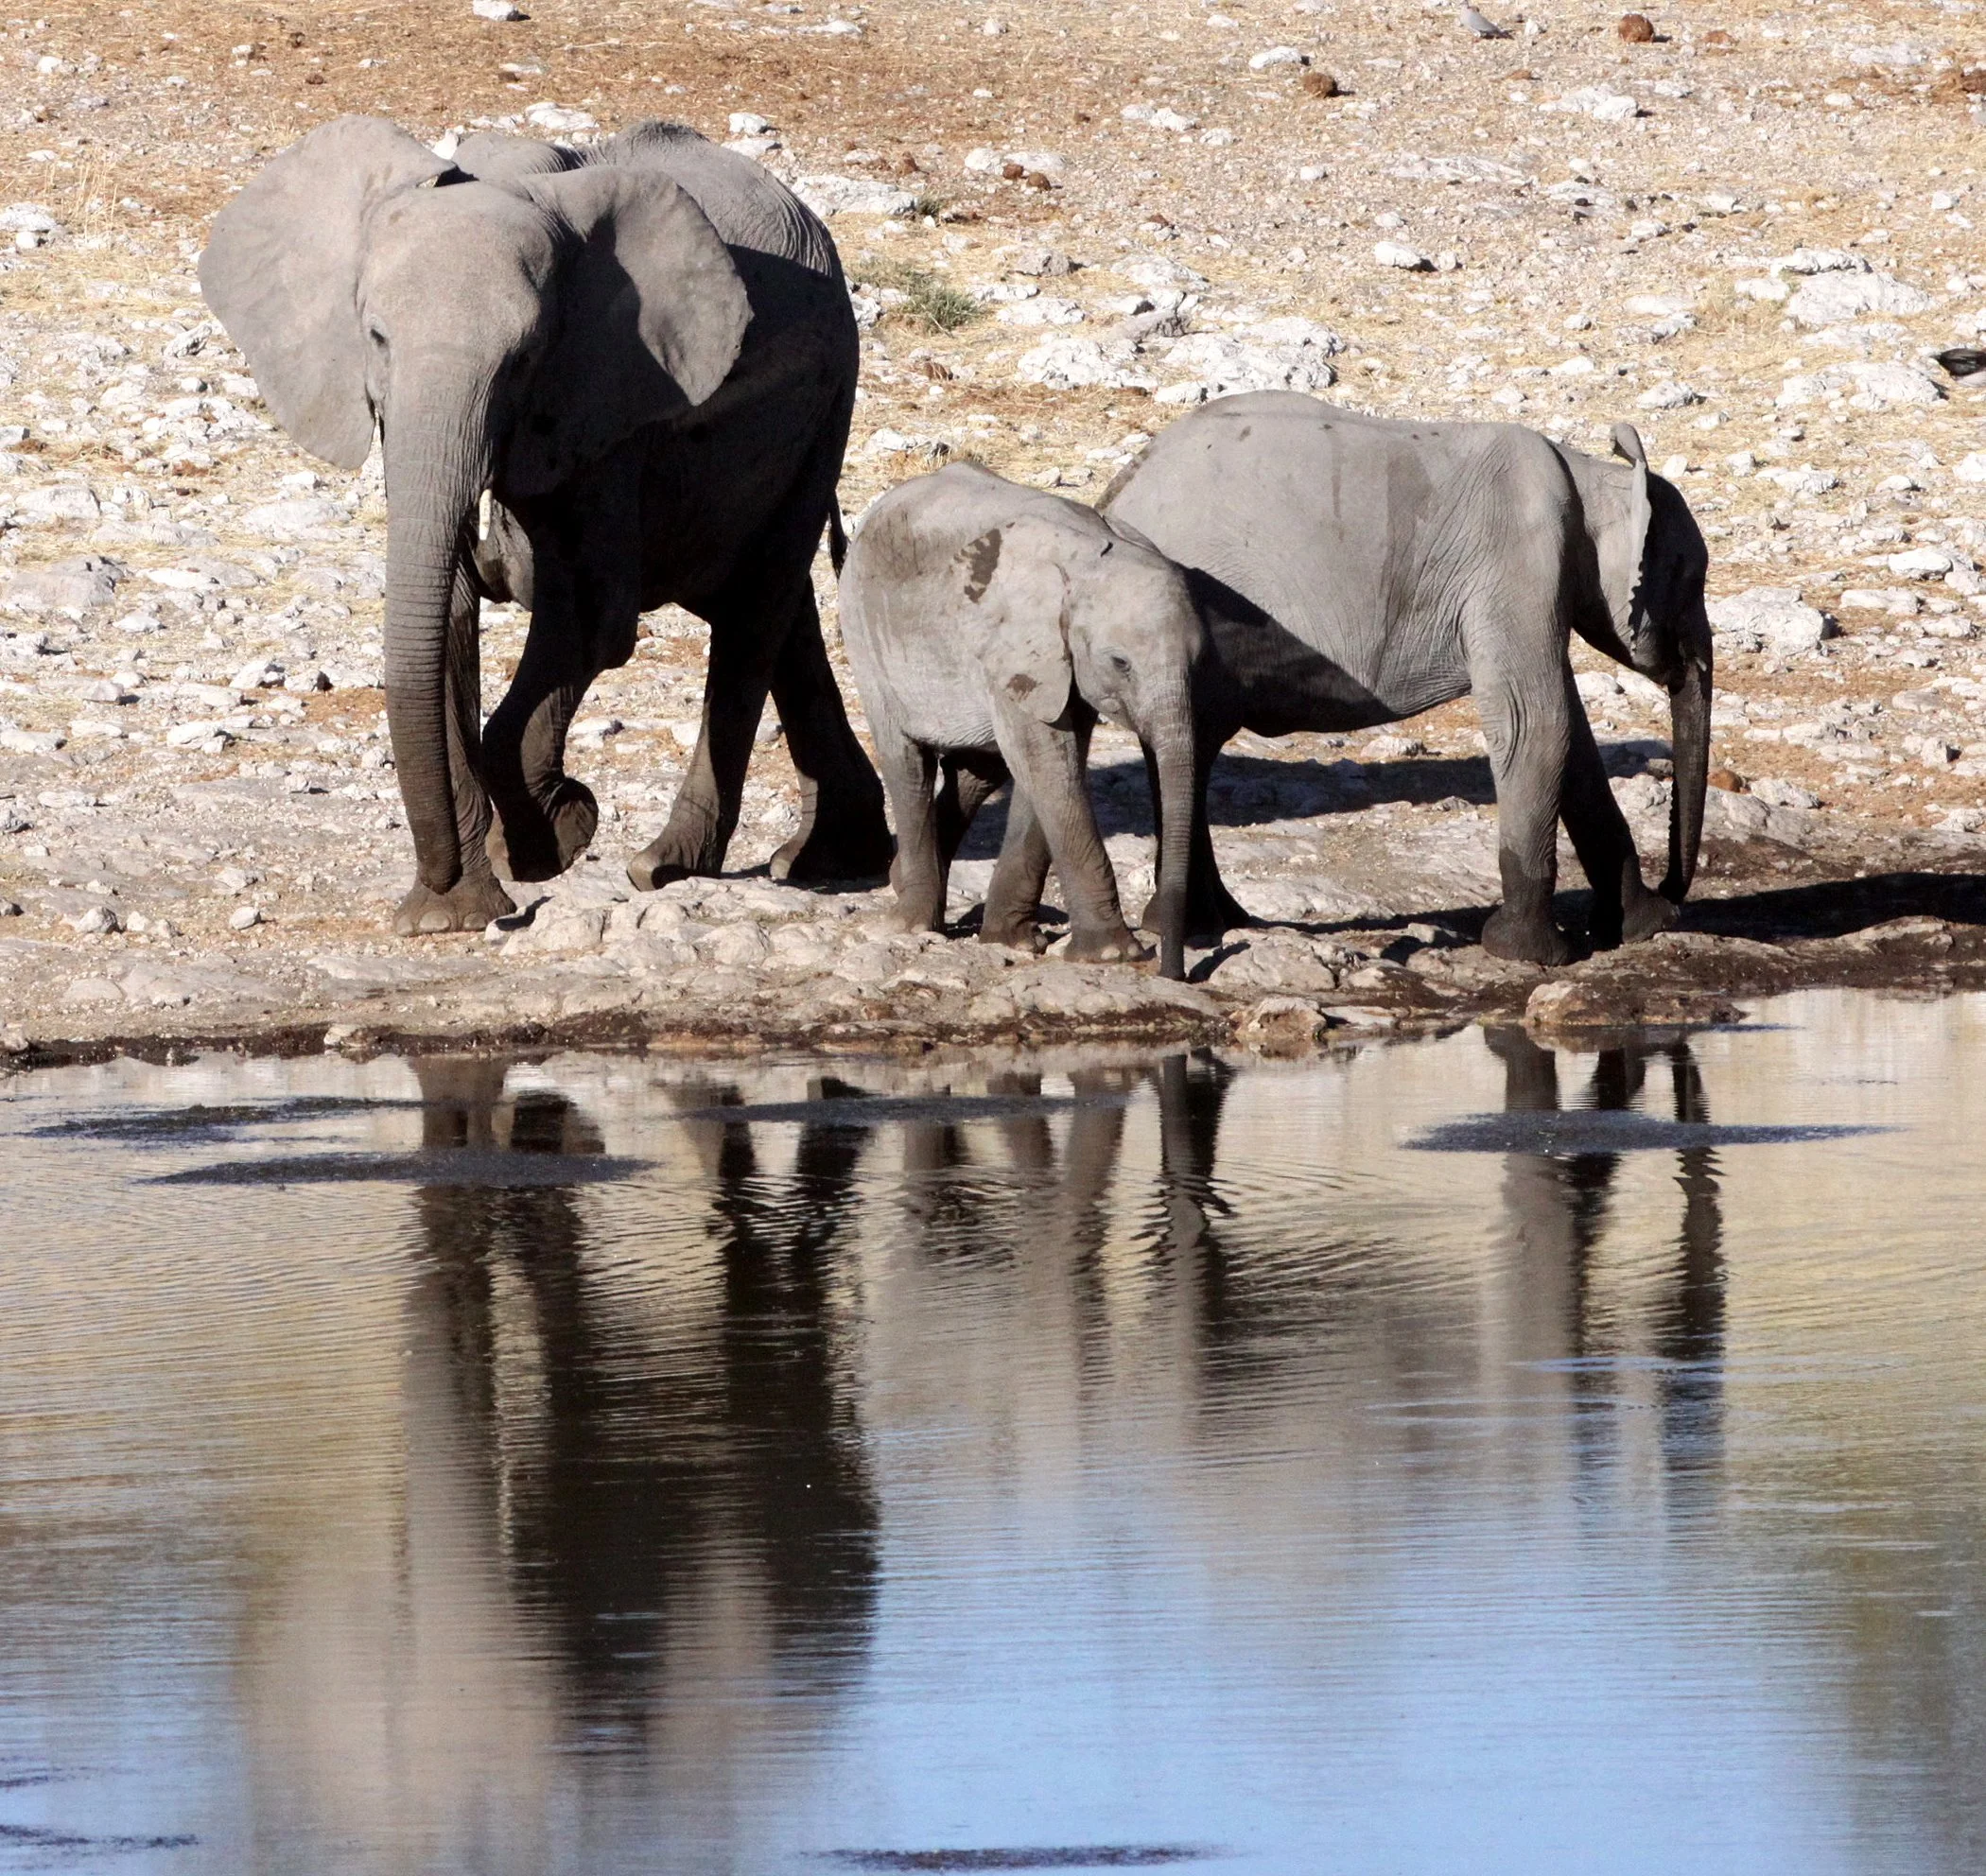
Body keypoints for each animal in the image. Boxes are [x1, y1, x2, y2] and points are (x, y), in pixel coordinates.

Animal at [199, 115, 891, 935]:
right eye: (375, 338)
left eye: (525, 358)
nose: (440, 894)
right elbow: (447, 618)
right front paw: (460, 909)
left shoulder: (614, 409)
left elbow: (588, 622)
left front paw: (550, 841)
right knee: (776, 607)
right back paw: (836, 857)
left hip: (830, 400)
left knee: (756, 607)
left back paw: (667, 864)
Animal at [837, 462, 1203, 979]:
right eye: (1121, 663)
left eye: (1199, 660)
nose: (1174, 972)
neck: (1088, 561)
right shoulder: (1017, 648)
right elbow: (1046, 762)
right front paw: (1113, 955)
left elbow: (1046, 765)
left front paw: (1014, 942)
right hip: (867, 634)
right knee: (908, 762)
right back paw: (911, 924)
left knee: (980, 769)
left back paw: (901, 879)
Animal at [1092, 394, 1713, 965]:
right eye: (1692, 577)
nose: (1673, 891)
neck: (1593, 477)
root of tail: (1114, 496)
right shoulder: (1520, 563)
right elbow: (1536, 723)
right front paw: (1532, 954)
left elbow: (1571, 740)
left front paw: (1641, 928)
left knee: (1189, 749)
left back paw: (1211, 920)